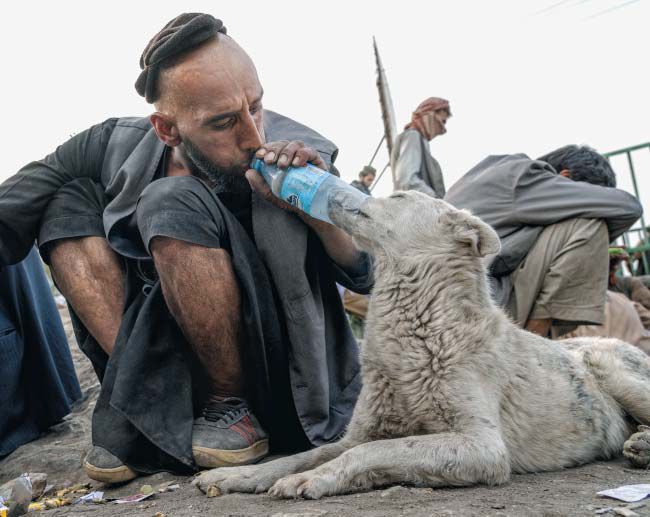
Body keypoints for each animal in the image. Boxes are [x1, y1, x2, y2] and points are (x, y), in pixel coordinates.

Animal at [195, 191, 648, 498]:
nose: (335, 193)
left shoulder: (481, 446)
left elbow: (376, 451)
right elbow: (299, 455)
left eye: (397, 196)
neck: (423, 332)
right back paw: (639, 444)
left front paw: (313, 479)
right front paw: (236, 476)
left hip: (611, 369)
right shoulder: (359, 432)